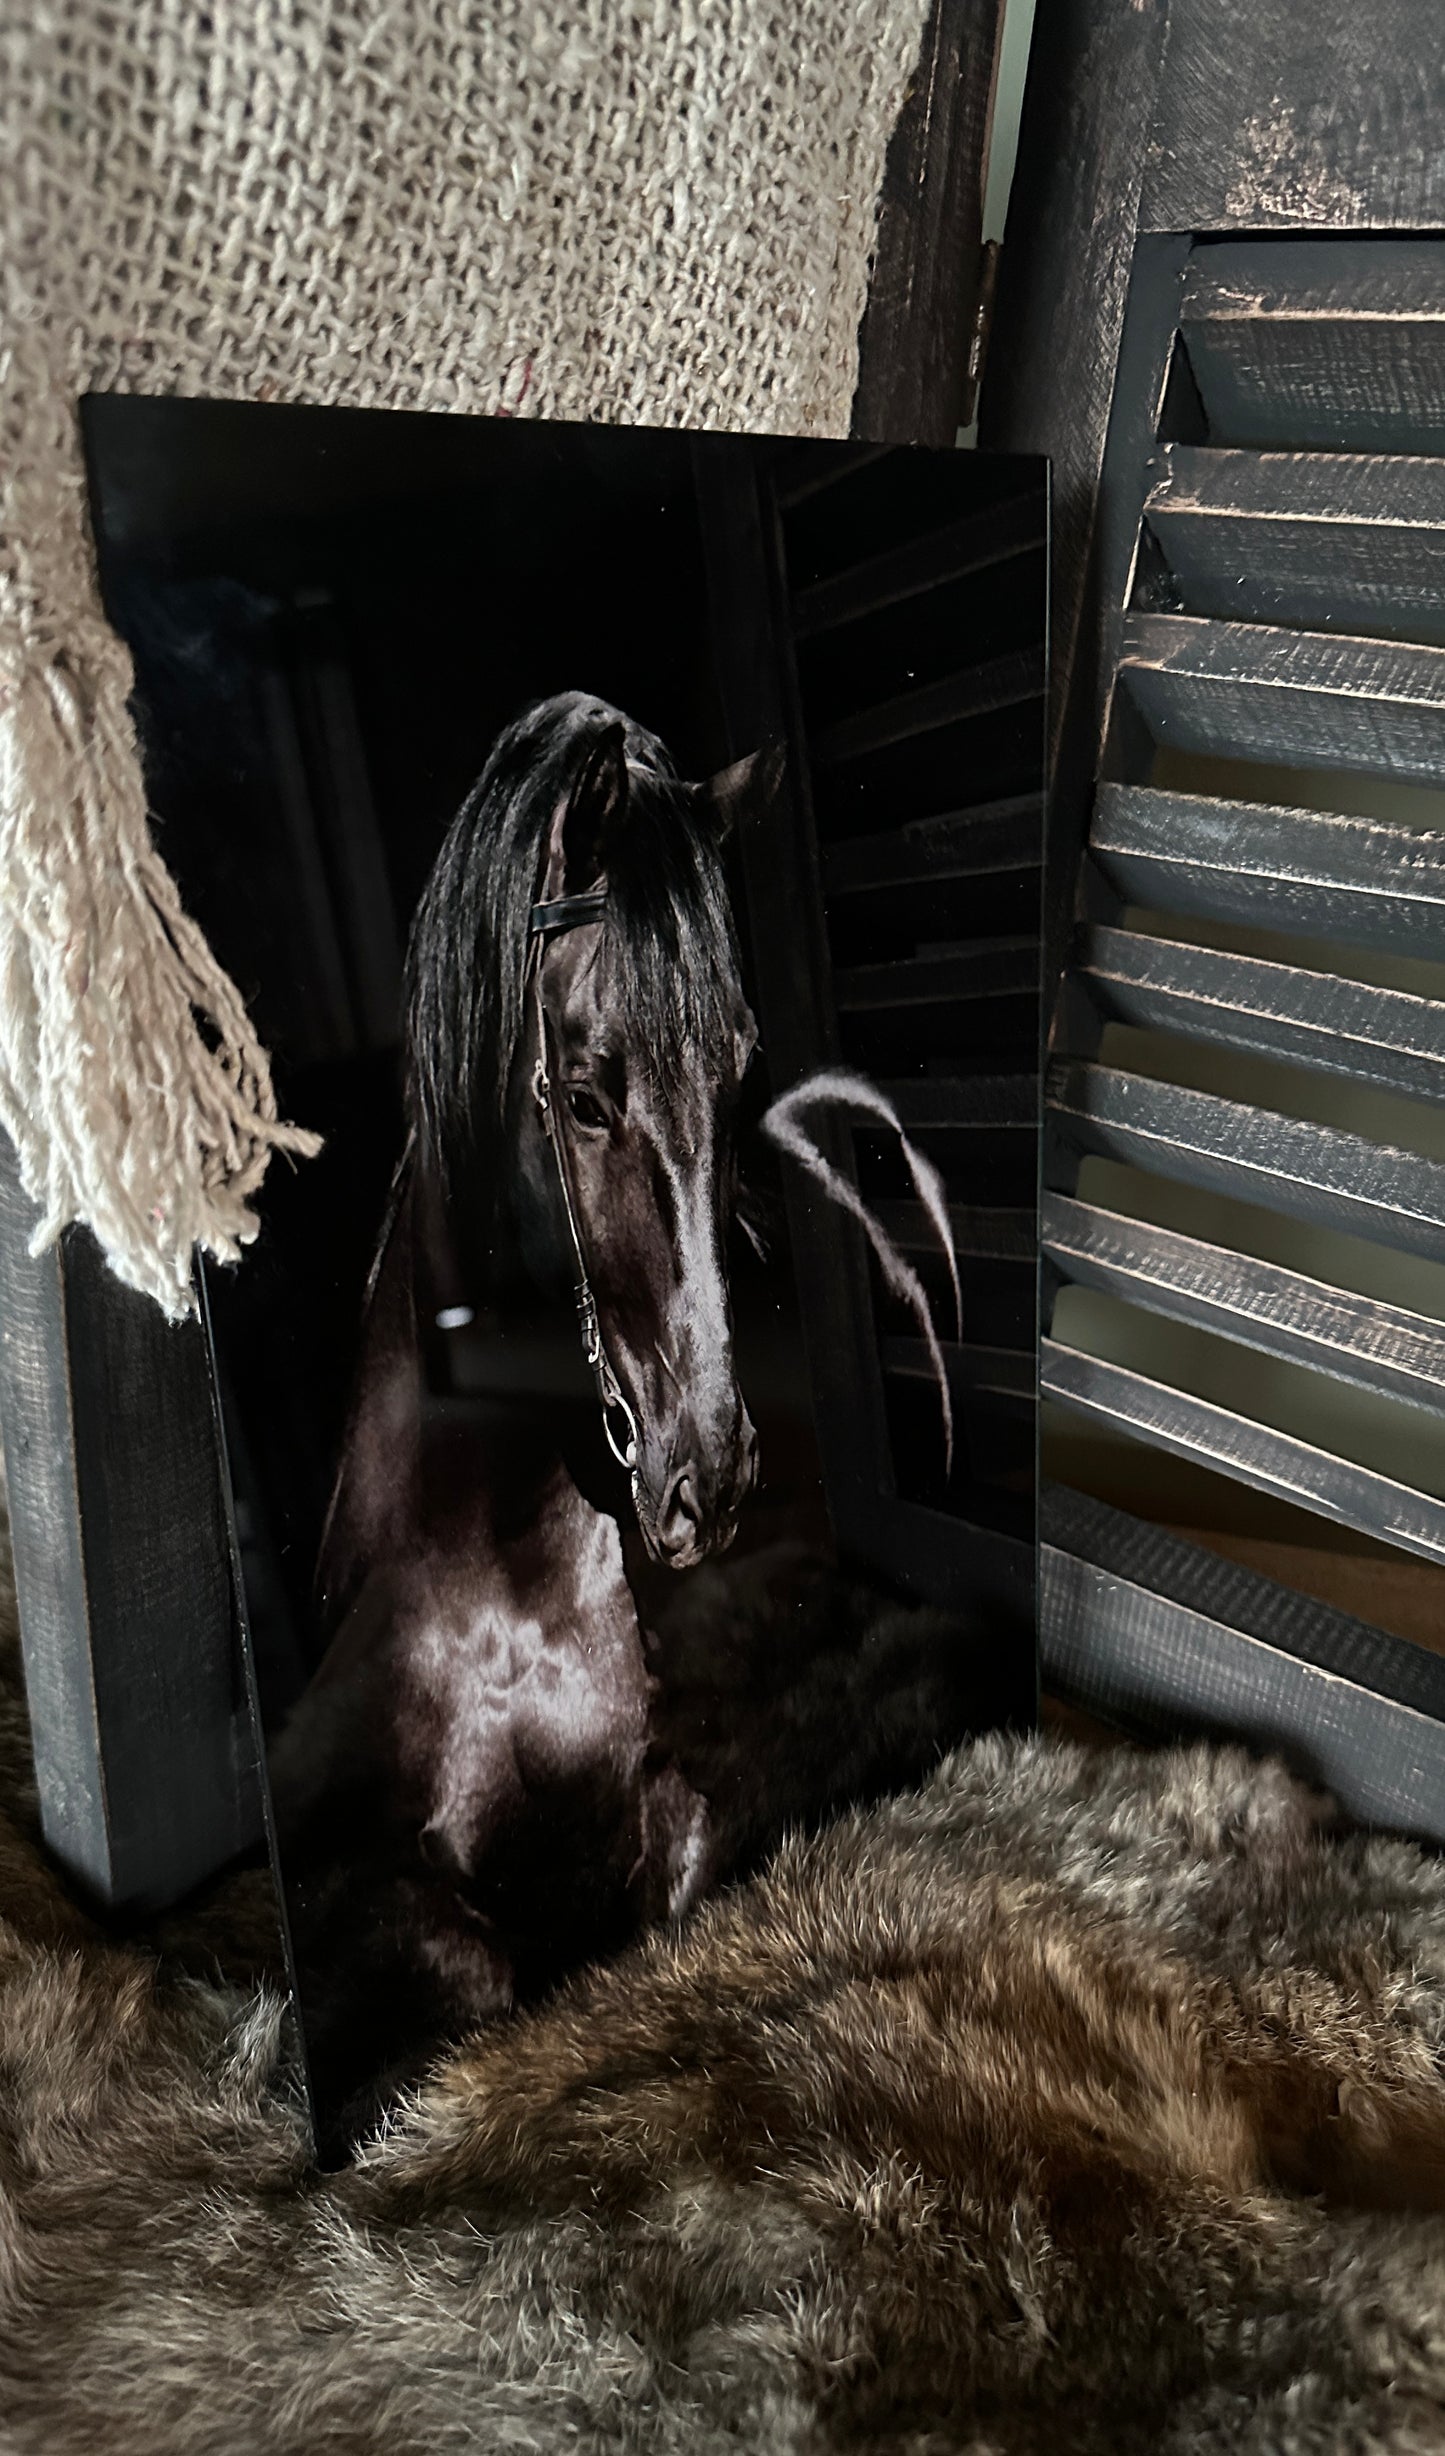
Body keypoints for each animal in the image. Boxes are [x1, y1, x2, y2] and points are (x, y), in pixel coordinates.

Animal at [267, 692, 768, 2133]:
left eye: (738, 1071)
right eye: (585, 1094)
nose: (707, 1475)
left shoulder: (666, 1799)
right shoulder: (358, 1888)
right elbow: (468, 1965)